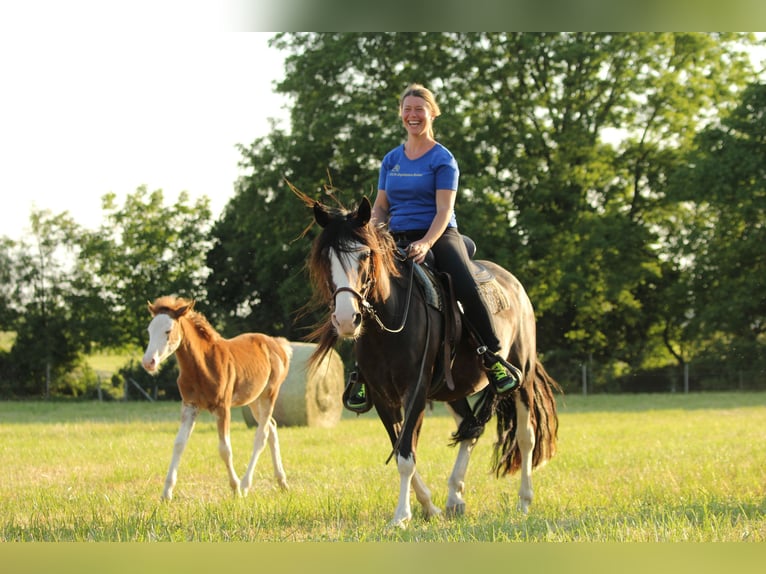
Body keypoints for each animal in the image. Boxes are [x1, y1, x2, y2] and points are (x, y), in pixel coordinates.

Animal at [141, 295, 292, 501]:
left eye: (168, 330)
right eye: (149, 331)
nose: (148, 362)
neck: (202, 366)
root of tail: (277, 344)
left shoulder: (222, 407)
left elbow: (225, 449)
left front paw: (235, 489)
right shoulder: (190, 405)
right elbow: (179, 444)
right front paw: (166, 493)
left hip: (269, 393)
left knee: (261, 435)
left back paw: (245, 485)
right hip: (253, 399)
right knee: (272, 427)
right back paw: (282, 482)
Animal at [298, 192, 560, 528]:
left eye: (365, 255)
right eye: (325, 258)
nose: (346, 319)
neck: (391, 321)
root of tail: (516, 286)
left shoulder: (415, 391)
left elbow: (406, 455)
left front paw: (401, 516)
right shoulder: (383, 397)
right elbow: (401, 449)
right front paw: (427, 507)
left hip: (522, 379)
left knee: (525, 437)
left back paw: (524, 501)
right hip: (454, 389)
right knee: (470, 430)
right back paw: (454, 497)